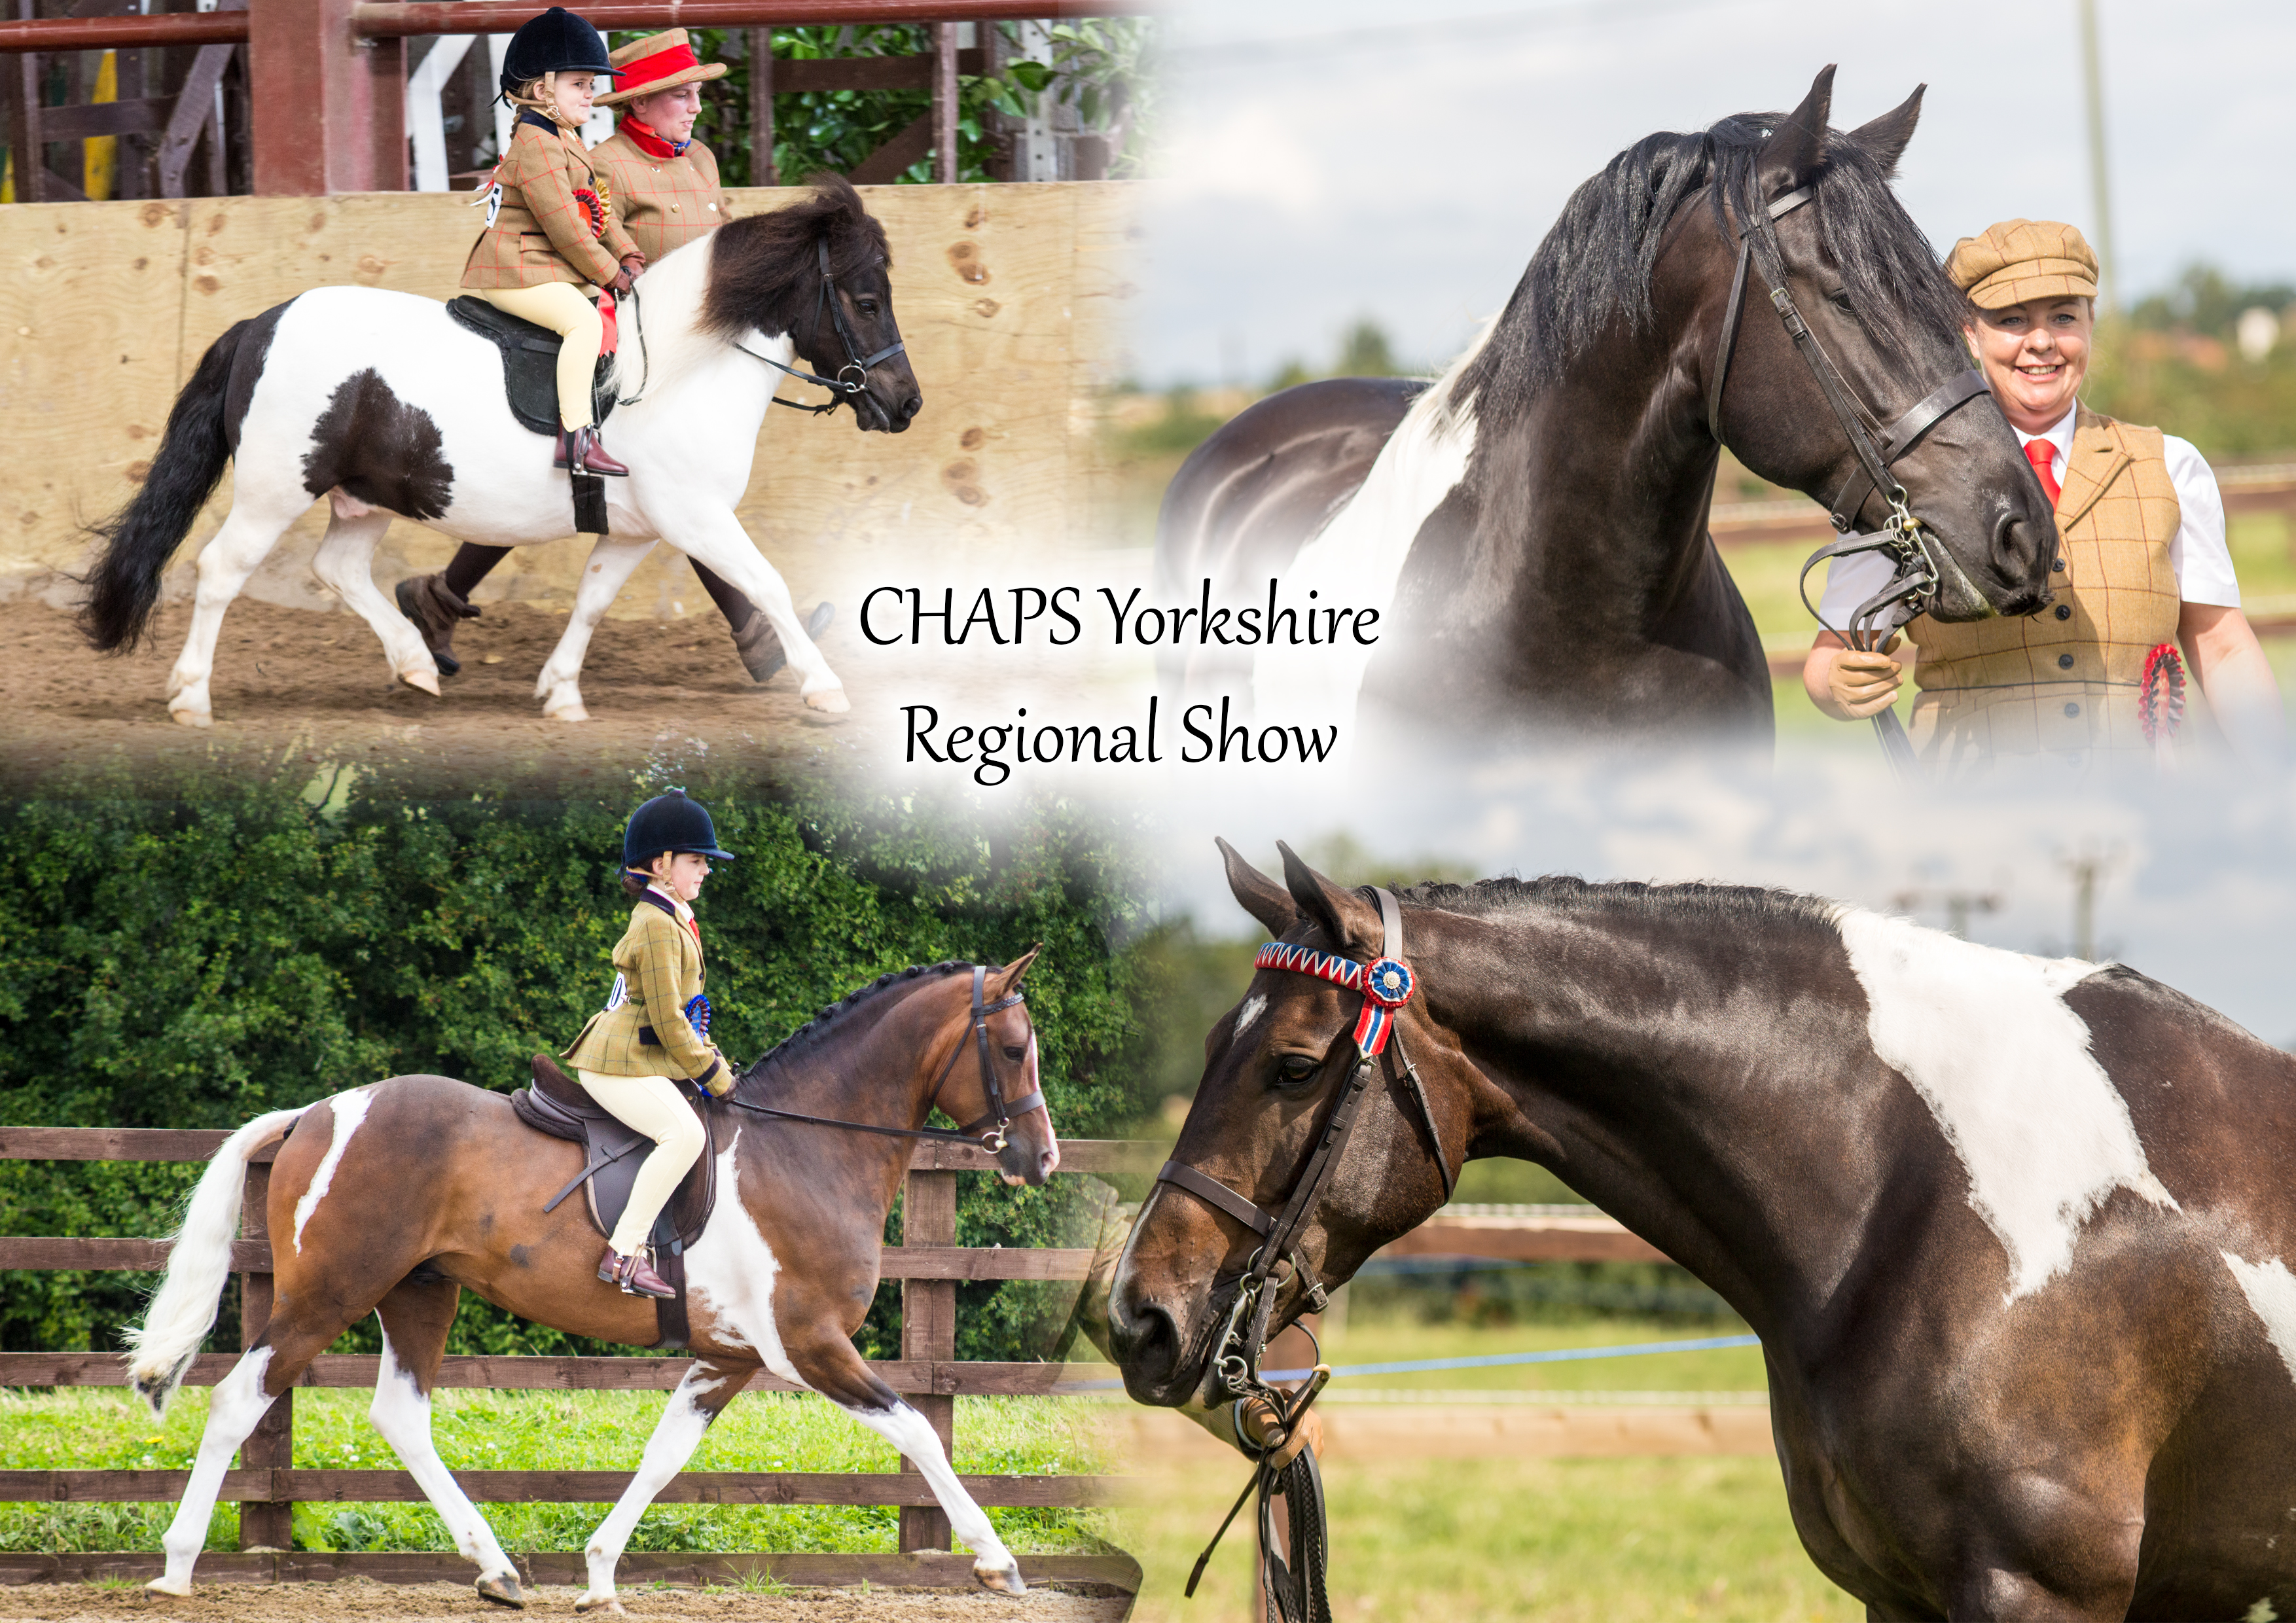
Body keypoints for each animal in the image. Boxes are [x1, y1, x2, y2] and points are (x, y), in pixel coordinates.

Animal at [84, 171, 918, 725]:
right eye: (866, 301)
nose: (905, 404)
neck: (682, 368)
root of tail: (258, 325)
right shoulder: (698, 518)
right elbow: (767, 585)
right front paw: (825, 688)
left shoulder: (640, 529)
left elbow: (593, 599)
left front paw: (561, 692)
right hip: (274, 488)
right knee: (222, 569)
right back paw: (192, 696)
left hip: (368, 494)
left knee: (339, 569)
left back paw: (416, 663)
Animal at [126, 950, 1051, 1616]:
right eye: (1013, 1049)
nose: (1039, 1159)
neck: (805, 1148)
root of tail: (317, 1114)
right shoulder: (809, 1344)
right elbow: (920, 1431)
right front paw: (997, 1560)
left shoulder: (728, 1357)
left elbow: (664, 1454)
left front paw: (601, 1573)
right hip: (331, 1291)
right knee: (238, 1399)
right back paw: (176, 1566)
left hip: (418, 1290)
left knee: (400, 1414)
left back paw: (497, 1569)